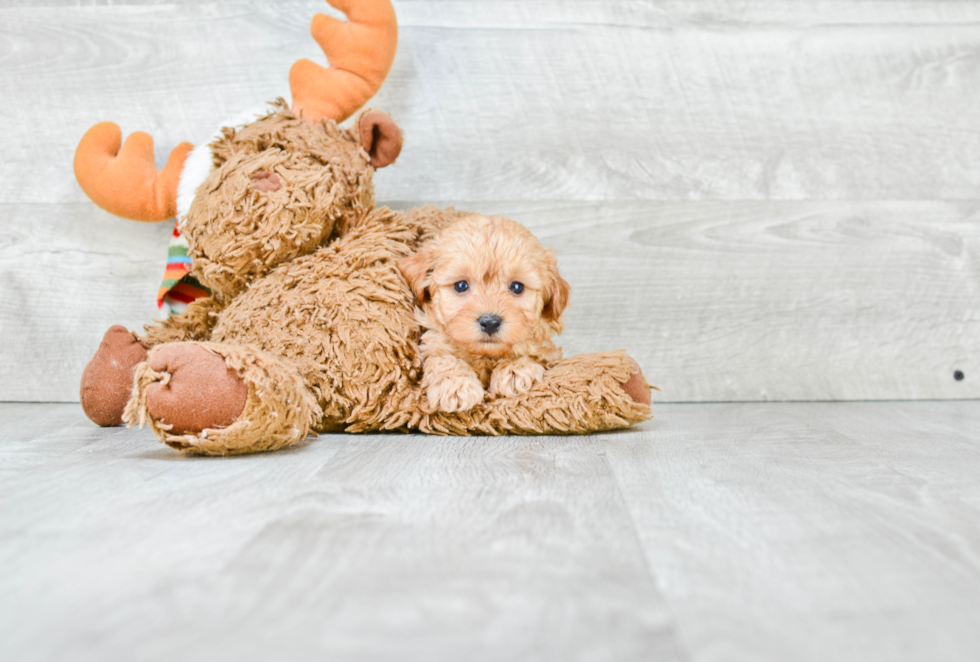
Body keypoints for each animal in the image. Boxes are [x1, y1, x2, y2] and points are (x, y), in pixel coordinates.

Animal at [396, 217, 572, 416]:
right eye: (461, 285)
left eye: (517, 287)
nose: (490, 322)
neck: (484, 356)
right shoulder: (434, 342)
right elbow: (442, 358)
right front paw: (455, 384)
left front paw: (516, 369)